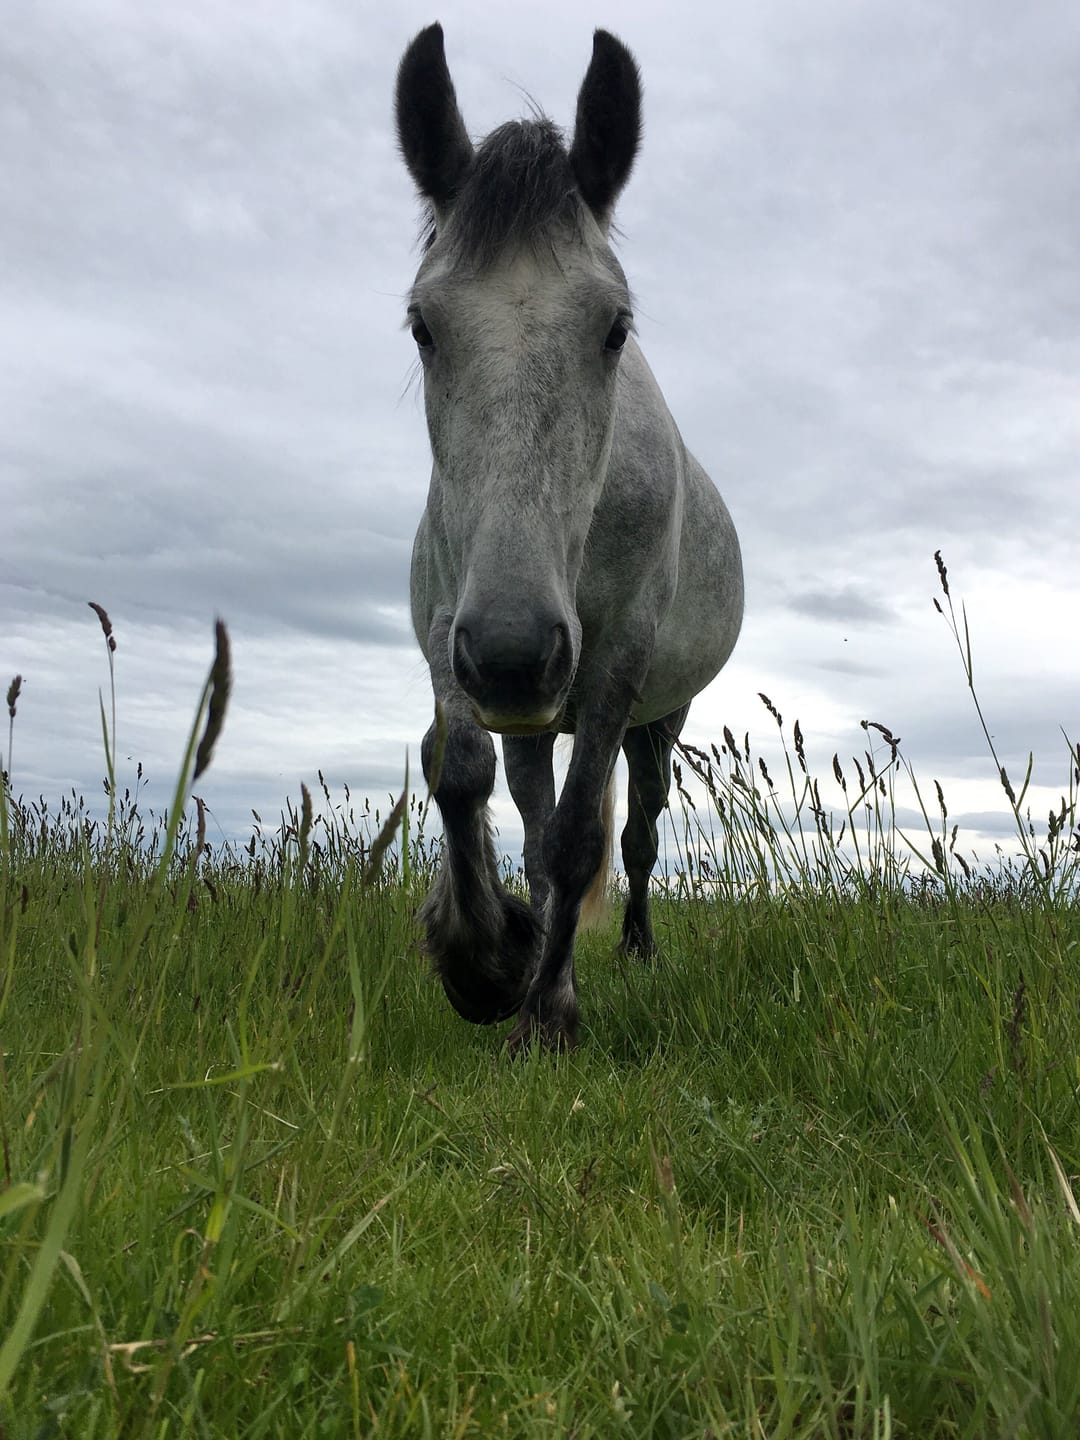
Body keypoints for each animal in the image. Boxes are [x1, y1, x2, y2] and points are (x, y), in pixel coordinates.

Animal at [395, 24, 744, 1050]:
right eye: (423, 325)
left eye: (614, 328)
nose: (515, 652)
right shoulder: (451, 632)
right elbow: (461, 773)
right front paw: (484, 960)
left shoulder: (613, 662)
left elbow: (587, 836)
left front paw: (546, 1011)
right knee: (533, 812)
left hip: (654, 718)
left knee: (633, 833)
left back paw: (631, 950)